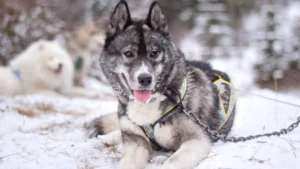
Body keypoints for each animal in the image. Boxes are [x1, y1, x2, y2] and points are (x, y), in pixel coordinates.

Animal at [89, 0, 237, 168]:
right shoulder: (136, 144)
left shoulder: (196, 141)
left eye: (154, 53)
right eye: (128, 53)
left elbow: (172, 162)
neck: (148, 104)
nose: (145, 79)